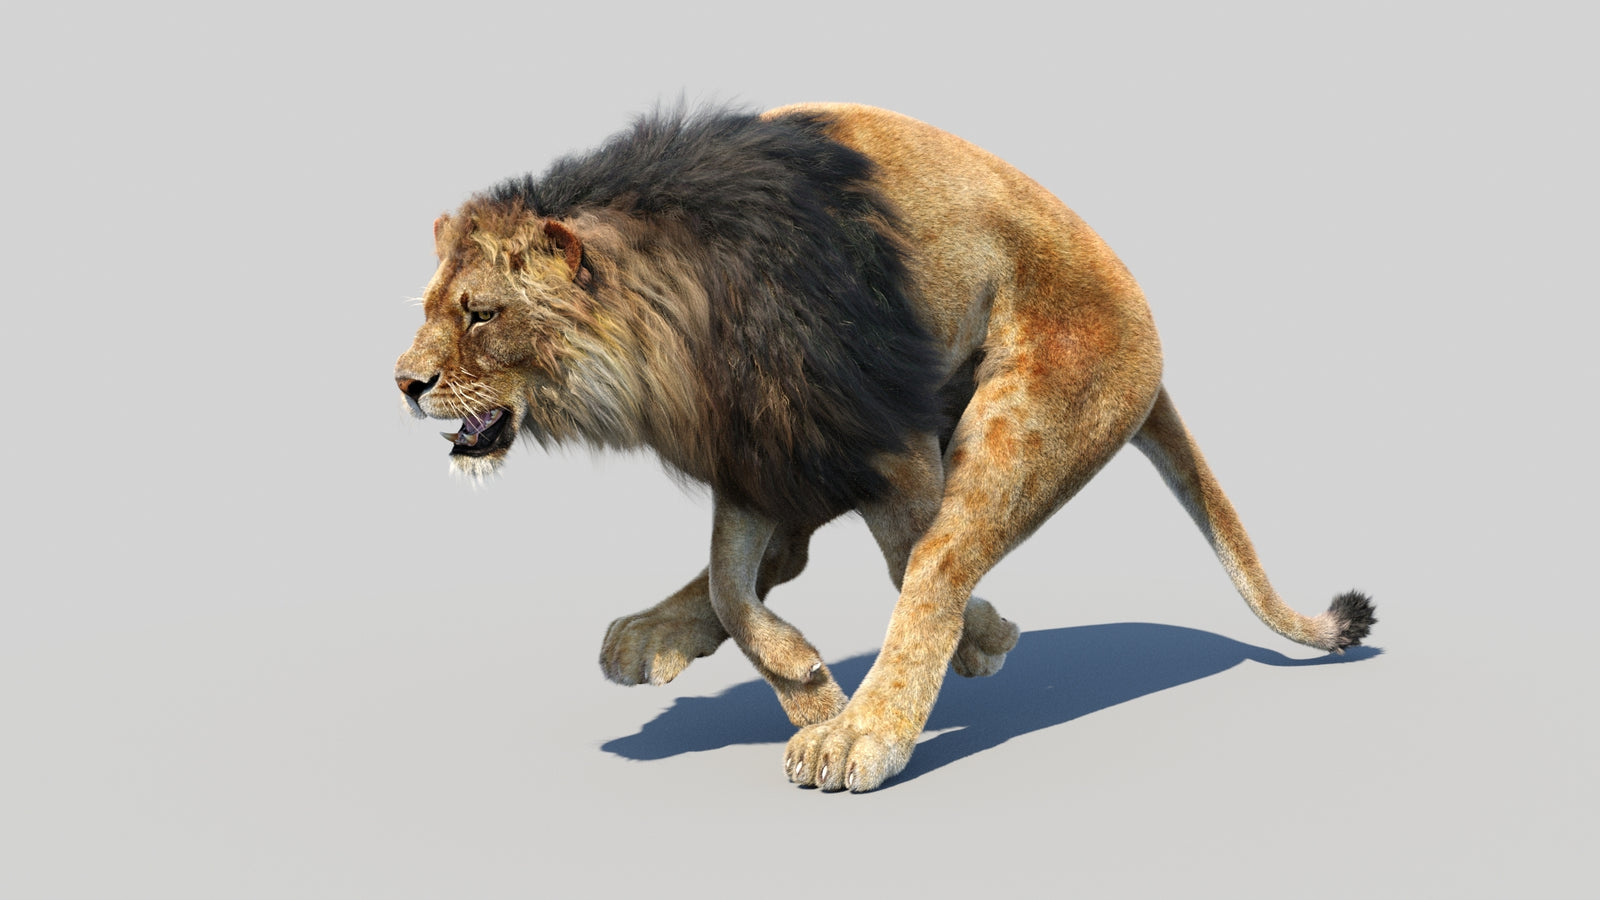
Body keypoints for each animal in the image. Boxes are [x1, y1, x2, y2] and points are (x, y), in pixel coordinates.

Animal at [395, 103, 1376, 792]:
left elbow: (917, 567)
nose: (403, 383)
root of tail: (1146, 321)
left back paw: (877, 718)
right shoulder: (758, 449)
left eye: (481, 314)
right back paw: (650, 634)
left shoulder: (883, 441)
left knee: (939, 553)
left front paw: (925, 675)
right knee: (792, 560)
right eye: (431, 309)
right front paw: (808, 685)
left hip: (1030, 405)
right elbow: (734, 583)